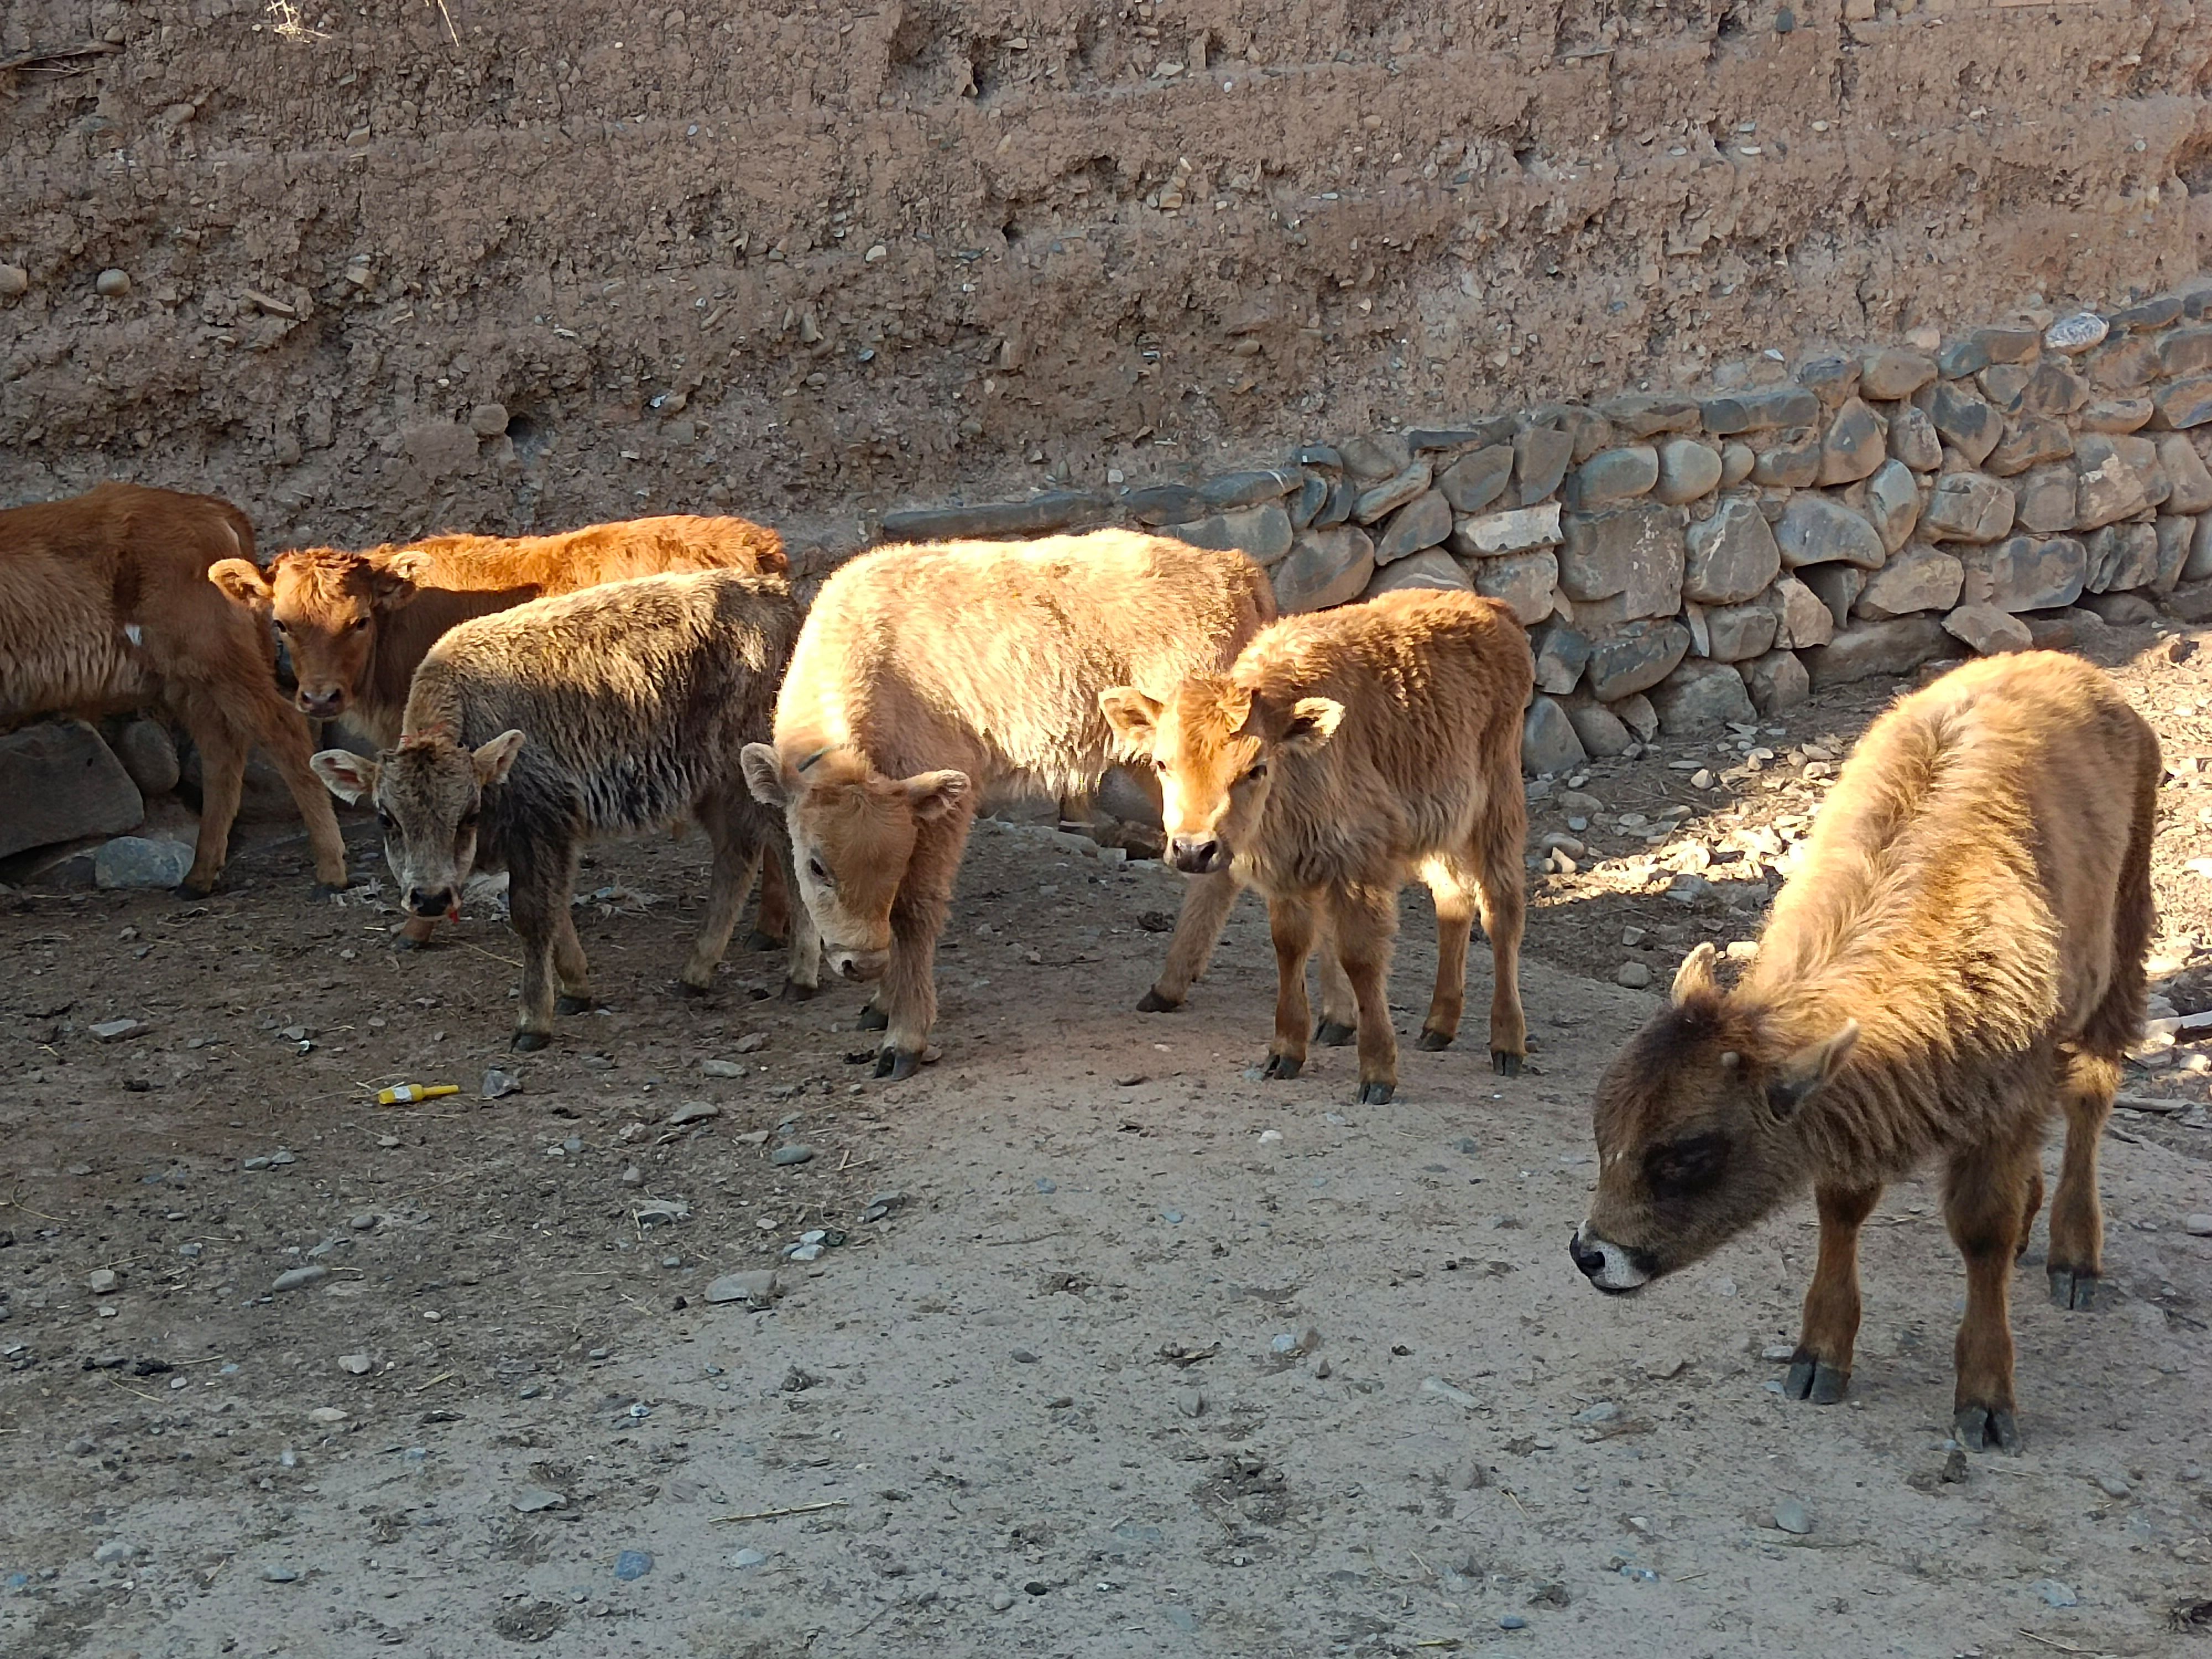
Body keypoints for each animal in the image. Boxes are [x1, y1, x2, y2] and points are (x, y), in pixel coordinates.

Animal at [0, 480, 345, 898]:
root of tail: (209, 506)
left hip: (212, 655)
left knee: (283, 729)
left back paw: (331, 869)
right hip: (186, 680)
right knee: (222, 751)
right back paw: (199, 876)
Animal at [316, 566, 810, 1044]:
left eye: (469, 816)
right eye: (387, 819)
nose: (431, 898)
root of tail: (782, 601)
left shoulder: (541, 826)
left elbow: (533, 915)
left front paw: (533, 1022)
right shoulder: (547, 838)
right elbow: (557, 912)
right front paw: (577, 990)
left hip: (755, 777)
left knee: (789, 853)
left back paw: (801, 974)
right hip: (715, 788)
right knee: (736, 857)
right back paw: (697, 974)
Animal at [739, 526, 1283, 1084]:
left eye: (895, 863)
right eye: (815, 865)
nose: (862, 963)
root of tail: (1235, 568)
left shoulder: (946, 805)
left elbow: (915, 912)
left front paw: (903, 1041)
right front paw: (879, 1005)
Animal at [1106, 588, 1540, 1106]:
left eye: (1256, 768)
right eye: (1162, 763)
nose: (1194, 849)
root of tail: (1494, 610)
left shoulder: (1360, 864)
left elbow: (1360, 957)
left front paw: (1377, 1074)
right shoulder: (1287, 873)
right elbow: (1291, 946)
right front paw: (1285, 1053)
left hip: (1496, 806)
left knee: (1501, 912)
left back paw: (1507, 1045)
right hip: (1443, 829)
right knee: (1454, 902)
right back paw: (1438, 1027)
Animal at [1575, 650, 2159, 1451]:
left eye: (1688, 1154)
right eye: (1604, 1131)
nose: (1591, 1254)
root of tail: (2080, 673)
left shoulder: (2006, 1100)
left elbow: (1981, 1231)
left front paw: (1985, 1403)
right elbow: (1843, 1206)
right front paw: (1818, 1360)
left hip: (2123, 946)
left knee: (2091, 1097)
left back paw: (2074, 1260)